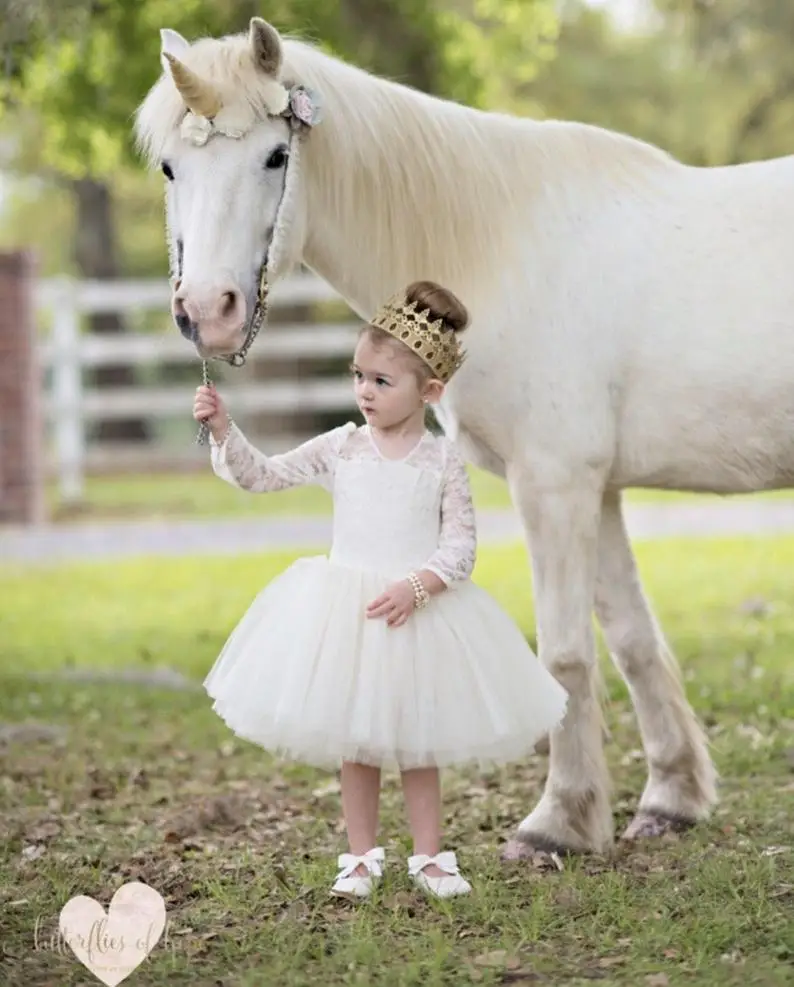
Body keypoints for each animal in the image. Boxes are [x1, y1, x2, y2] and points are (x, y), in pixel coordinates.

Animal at [133, 21, 788, 856]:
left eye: (276, 157)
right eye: (170, 166)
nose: (206, 311)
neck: (501, 247)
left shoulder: (554, 484)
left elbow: (566, 653)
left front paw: (559, 821)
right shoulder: (598, 489)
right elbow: (633, 640)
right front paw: (671, 798)